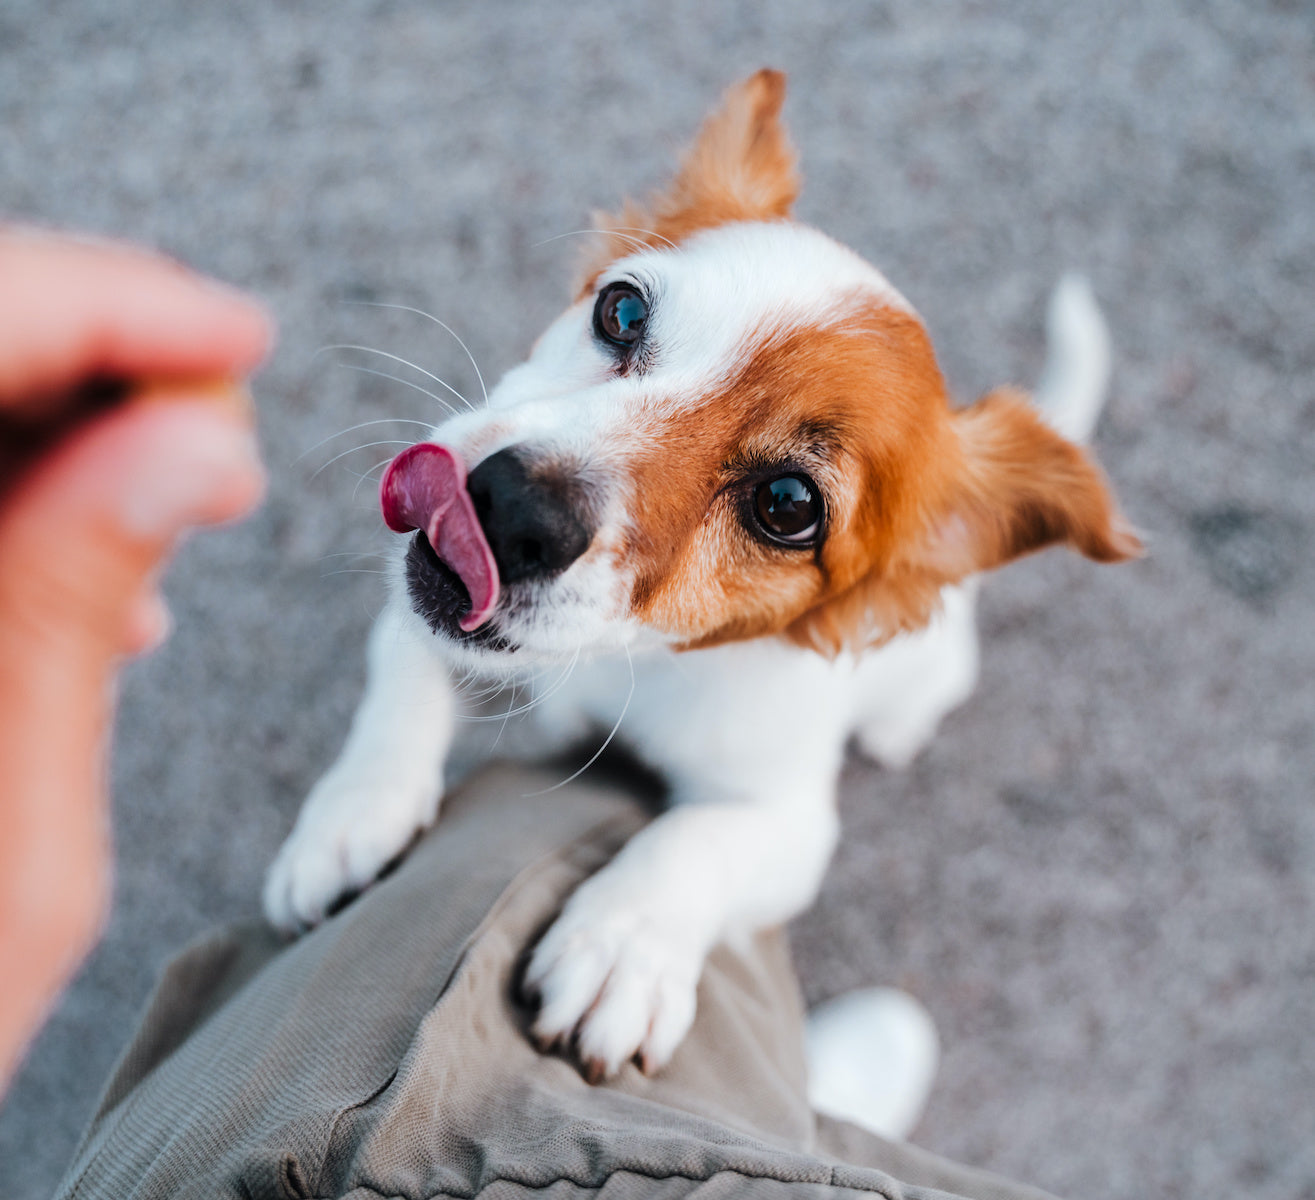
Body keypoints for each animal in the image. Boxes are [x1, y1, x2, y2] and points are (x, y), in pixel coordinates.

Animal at [261, 72, 1136, 1088]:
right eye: (621, 311)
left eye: (787, 505)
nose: (511, 508)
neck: (627, 663)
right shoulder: (421, 616)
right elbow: (402, 677)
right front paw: (350, 817)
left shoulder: (791, 822)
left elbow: (696, 839)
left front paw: (620, 945)